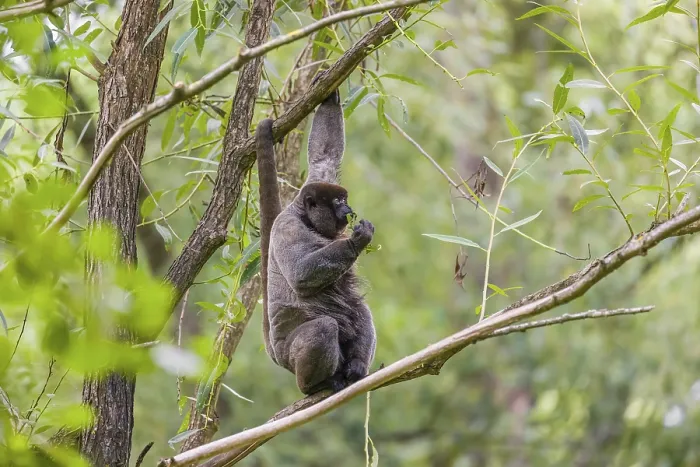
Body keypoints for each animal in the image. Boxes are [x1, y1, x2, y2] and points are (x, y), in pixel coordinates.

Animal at [256, 89, 377, 395]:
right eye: (337, 202)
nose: (348, 210)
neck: (305, 216)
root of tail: (277, 354)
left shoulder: (317, 178)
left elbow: (324, 157)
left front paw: (330, 96)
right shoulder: (287, 228)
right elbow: (300, 275)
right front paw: (356, 241)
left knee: (359, 309)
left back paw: (356, 367)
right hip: (291, 356)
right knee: (325, 326)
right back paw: (316, 385)